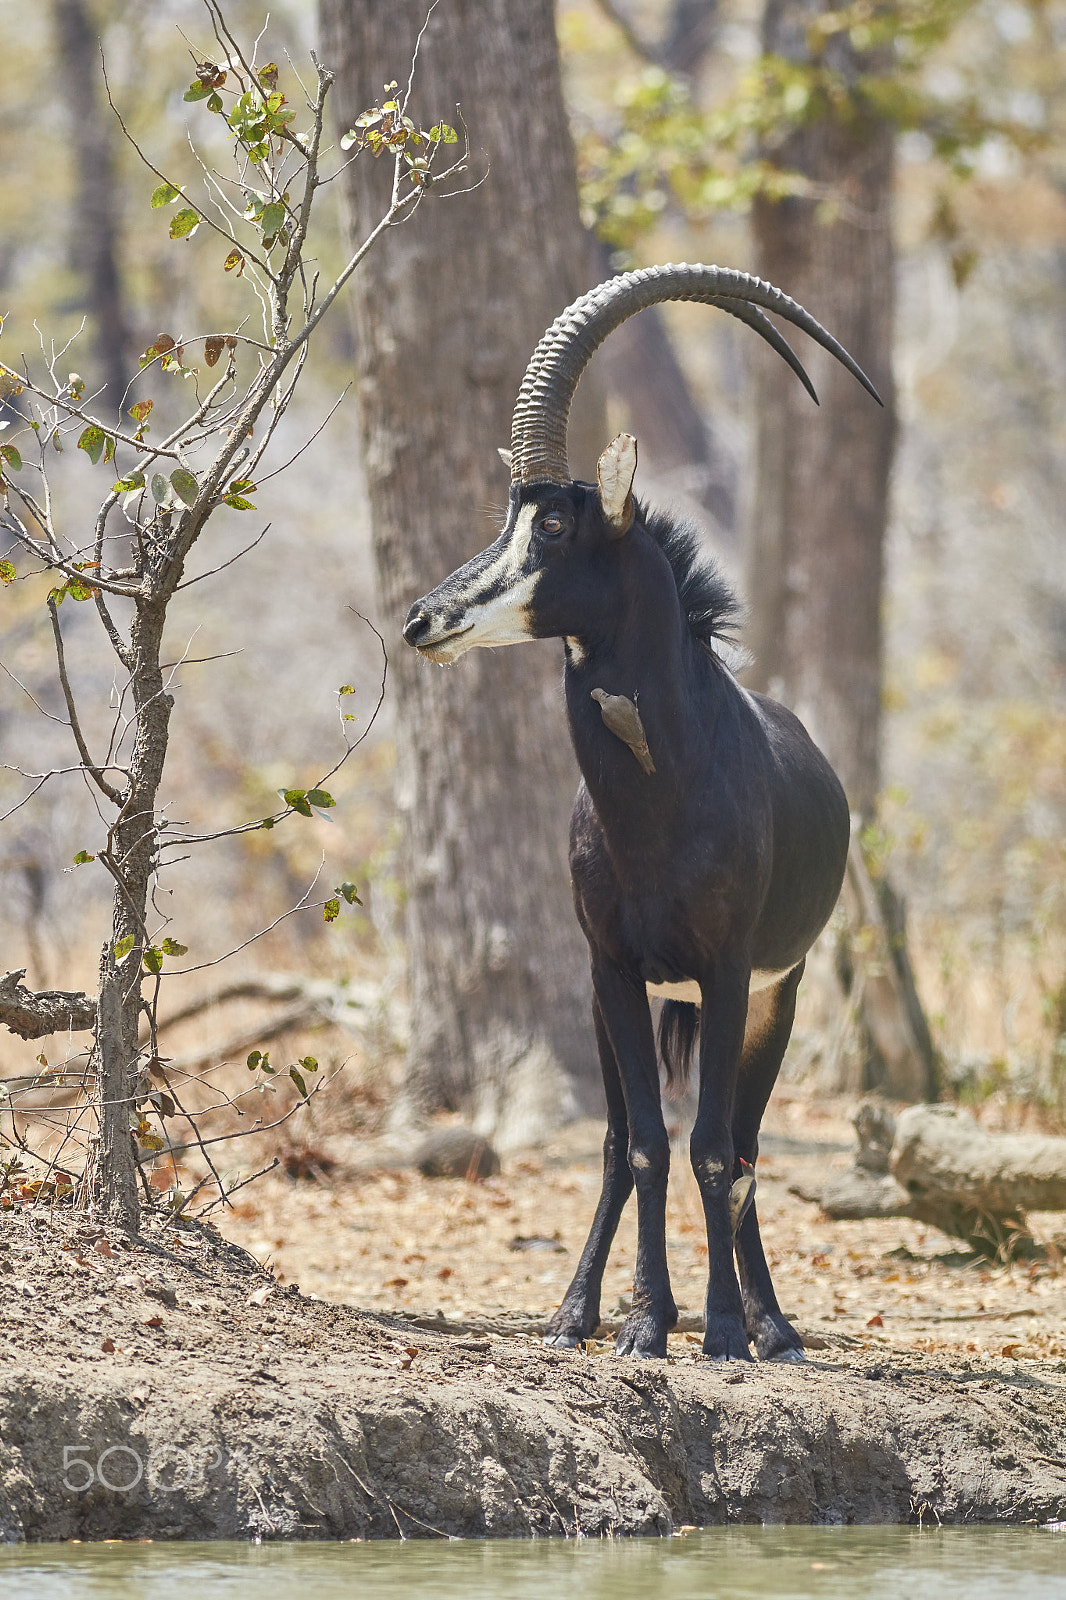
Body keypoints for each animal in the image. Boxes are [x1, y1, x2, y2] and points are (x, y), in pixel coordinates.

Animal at [403, 265, 877, 1363]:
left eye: (555, 526)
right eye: (507, 515)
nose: (423, 619)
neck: (664, 801)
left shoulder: (730, 970)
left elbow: (710, 1148)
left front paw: (723, 1329)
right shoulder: (613, 967)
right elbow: (650, 1146)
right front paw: (643, 1323)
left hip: (772, 997)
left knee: (742, 1145)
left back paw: (774, 1323)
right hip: (620, 996)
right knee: (629, 1140)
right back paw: (579, 1309)